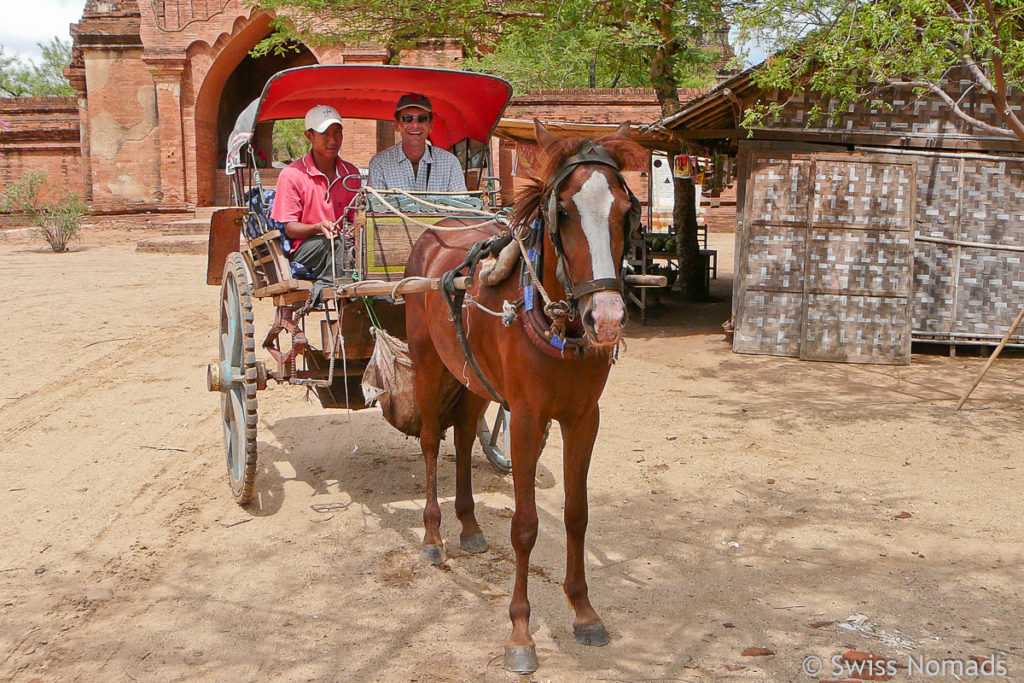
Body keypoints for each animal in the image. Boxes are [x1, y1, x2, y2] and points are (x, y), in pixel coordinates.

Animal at [405, 120, 638, 675]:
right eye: (564, 212)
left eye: (626, 210)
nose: (607, 318)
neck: (557, 325)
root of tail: (436, 232)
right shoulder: (529, 420)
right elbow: (526, 526)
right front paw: (520, 632)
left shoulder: (584, 419)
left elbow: (577, 513)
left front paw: (584, 610)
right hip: (427, 364)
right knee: (431, 442)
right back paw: (433, 536)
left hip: (472, 377)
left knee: (463, 436)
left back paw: (468, 525)